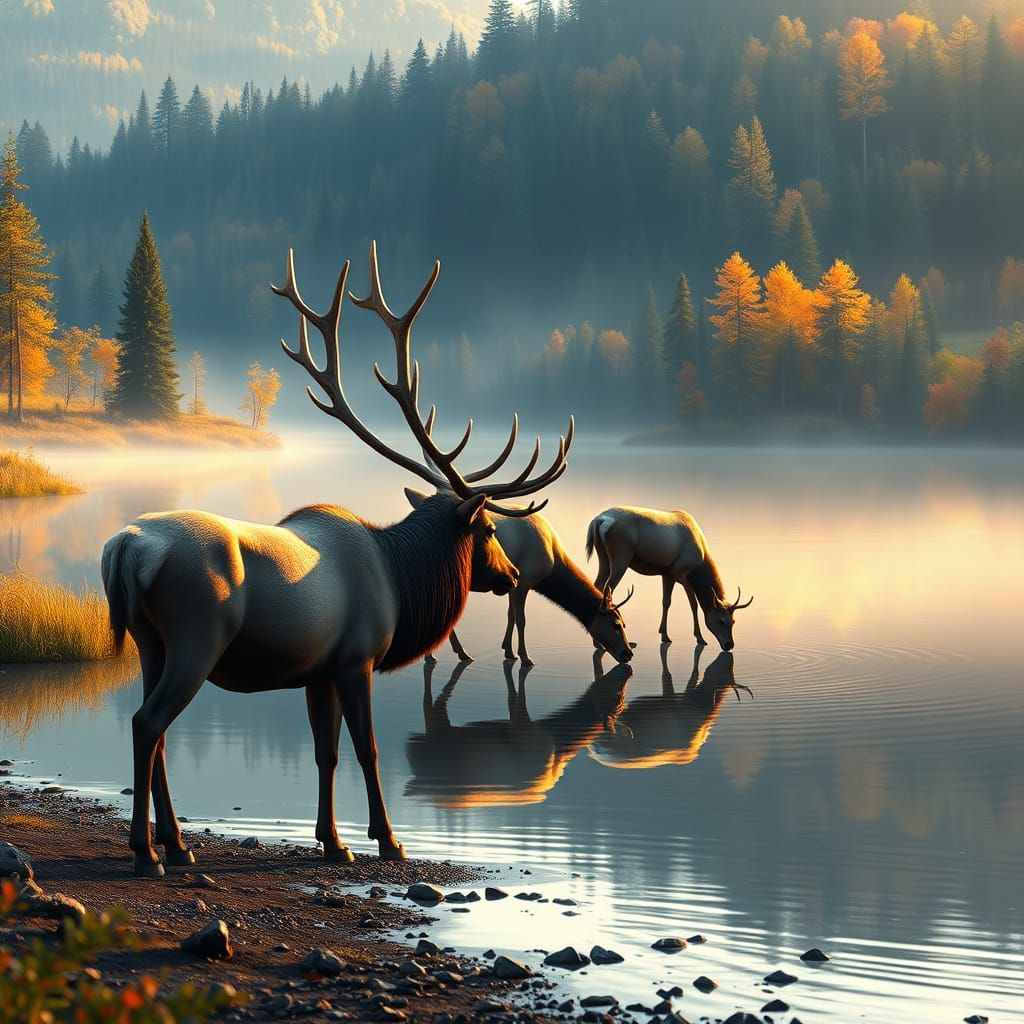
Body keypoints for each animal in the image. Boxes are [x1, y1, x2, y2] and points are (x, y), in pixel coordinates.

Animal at [100, 242, 576, 878]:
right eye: (490, 529)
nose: (514, 574)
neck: (401, 582)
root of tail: (126, 548)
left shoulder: (317, 670)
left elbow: (325, 753)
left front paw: (333, 841)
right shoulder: (357, 658)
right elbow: (367, 749)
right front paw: (388, 840)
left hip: (151, 644)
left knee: (155, 734)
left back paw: (177, 844)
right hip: (196, 640)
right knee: (147, 724)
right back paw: (147, 852)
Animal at [403, 494, 634, 666]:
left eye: (625, 623)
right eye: (616, 624)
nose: (628, 654)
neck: (552, 566)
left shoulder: (513, 584)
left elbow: (511, 615)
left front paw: (508, 650)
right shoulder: (523, 581)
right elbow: (521, 619)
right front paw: (525, 657)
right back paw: (445, 654)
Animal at [586, 506, 752, 651]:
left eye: (733, 621)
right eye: (721, 621)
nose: (729, 645)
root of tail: (599, 520)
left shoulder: (667, 574)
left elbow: (666, 602)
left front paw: (664, 634)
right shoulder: (681, 573)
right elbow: (693, 604)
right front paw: (700, 638)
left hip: (604, 558)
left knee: (598, 585)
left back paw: (598, 642)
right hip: (621, 557)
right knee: (608, 589)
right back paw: (607, 642)